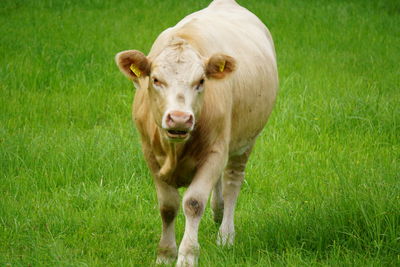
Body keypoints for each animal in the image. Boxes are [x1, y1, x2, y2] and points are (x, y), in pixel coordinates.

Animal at [115, 0, 278, 266]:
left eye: (201, 81)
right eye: (156, 80)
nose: (180, 118)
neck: (174, 150)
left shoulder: (215, 152)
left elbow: (192, 203)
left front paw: (187, 256)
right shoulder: (150, 155)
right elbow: (168, 206)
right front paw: (165, 254)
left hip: (245, 141)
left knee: (232, 182)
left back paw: (226, 234)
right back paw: (218, 211)